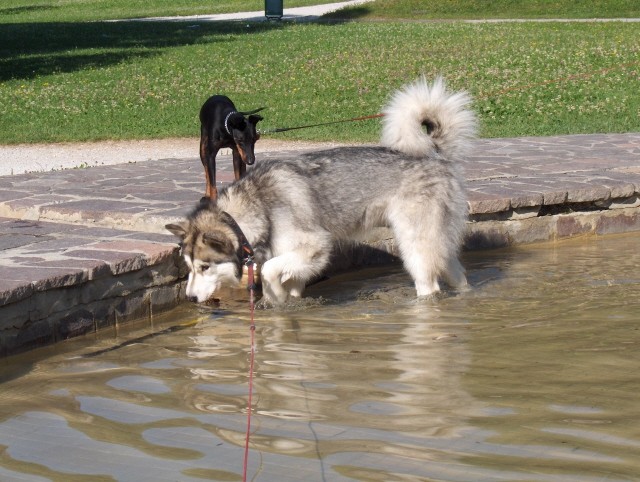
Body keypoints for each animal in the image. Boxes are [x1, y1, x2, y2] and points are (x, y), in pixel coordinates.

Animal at [168, 78, 478, 306]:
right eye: (189, 267)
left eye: (205, 267)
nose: (190, 298)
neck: (258, 205)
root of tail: (435, 153)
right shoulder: (297, 260)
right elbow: (287, 283)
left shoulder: (316, 246)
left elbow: (268, 271)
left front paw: (273, 295)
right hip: (436, 243)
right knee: (458, 273)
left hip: (414, 246)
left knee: (429, 285)